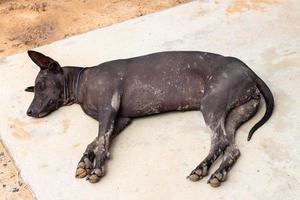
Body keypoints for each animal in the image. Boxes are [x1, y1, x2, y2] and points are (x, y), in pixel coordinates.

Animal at [25, 50, 274, 188]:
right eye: (35, 88)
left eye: (41, 85)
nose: (28, 112)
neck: (80, 82)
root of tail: (250, 72)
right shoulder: (121, 118)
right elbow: (93, 142)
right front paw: (85, 161)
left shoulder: (109, 108)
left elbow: (102, 141)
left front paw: (97, 167)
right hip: (237, 111)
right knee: (232, 149)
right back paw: (218, 174)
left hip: (212, 105)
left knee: (220, 141)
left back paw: (201, 169)